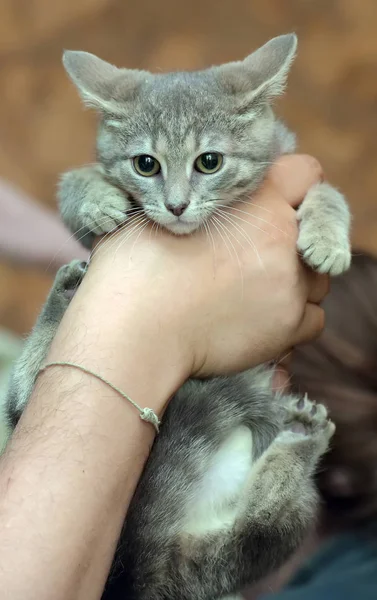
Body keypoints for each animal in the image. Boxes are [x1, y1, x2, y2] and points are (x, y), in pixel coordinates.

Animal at [4, 34, 350, 600]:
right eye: (146, 164)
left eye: (209, 161)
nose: (177, 205)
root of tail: (140, 568)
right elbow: (75, 178)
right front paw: (95, 199)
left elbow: (329, 192)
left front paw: (327, 238)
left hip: (268, 528)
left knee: (257, 529)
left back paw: (300, 439)